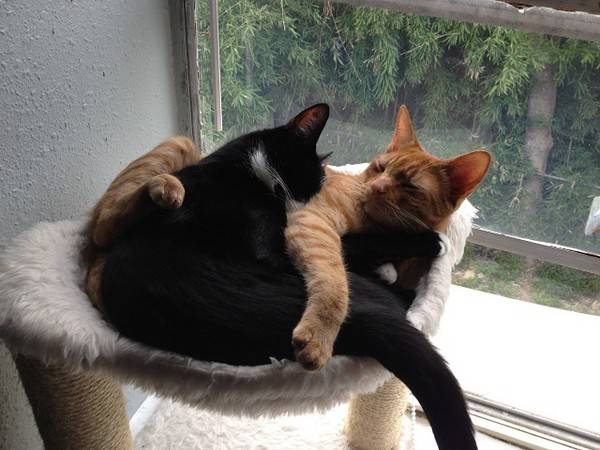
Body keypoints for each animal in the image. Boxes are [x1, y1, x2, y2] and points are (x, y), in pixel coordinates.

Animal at [96, 104, 478, 450]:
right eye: (308, 179)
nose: (303, 205)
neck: (238, 170)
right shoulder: (281, 252)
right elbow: (355, 246)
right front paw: (425, 242)